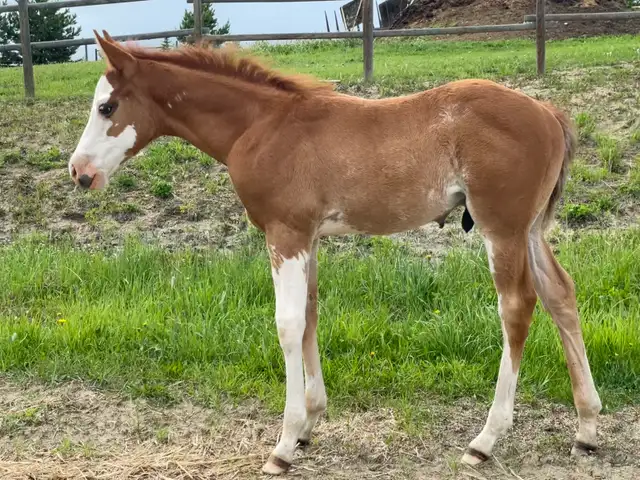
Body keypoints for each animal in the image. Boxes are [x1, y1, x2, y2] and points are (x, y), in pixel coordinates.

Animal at [68, 30, 601, 475]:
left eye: (108, 107)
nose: (79, 172)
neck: (261, 127)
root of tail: (549, 113)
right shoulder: (308, 238)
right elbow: (309, 315)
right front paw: (308, 425)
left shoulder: (284, 233)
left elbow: (286, 324)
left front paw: (284, 444)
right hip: (529, 229)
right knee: (561, 295)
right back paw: (588, 428)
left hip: (501, 228)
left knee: (517, 307)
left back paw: (485, 440)